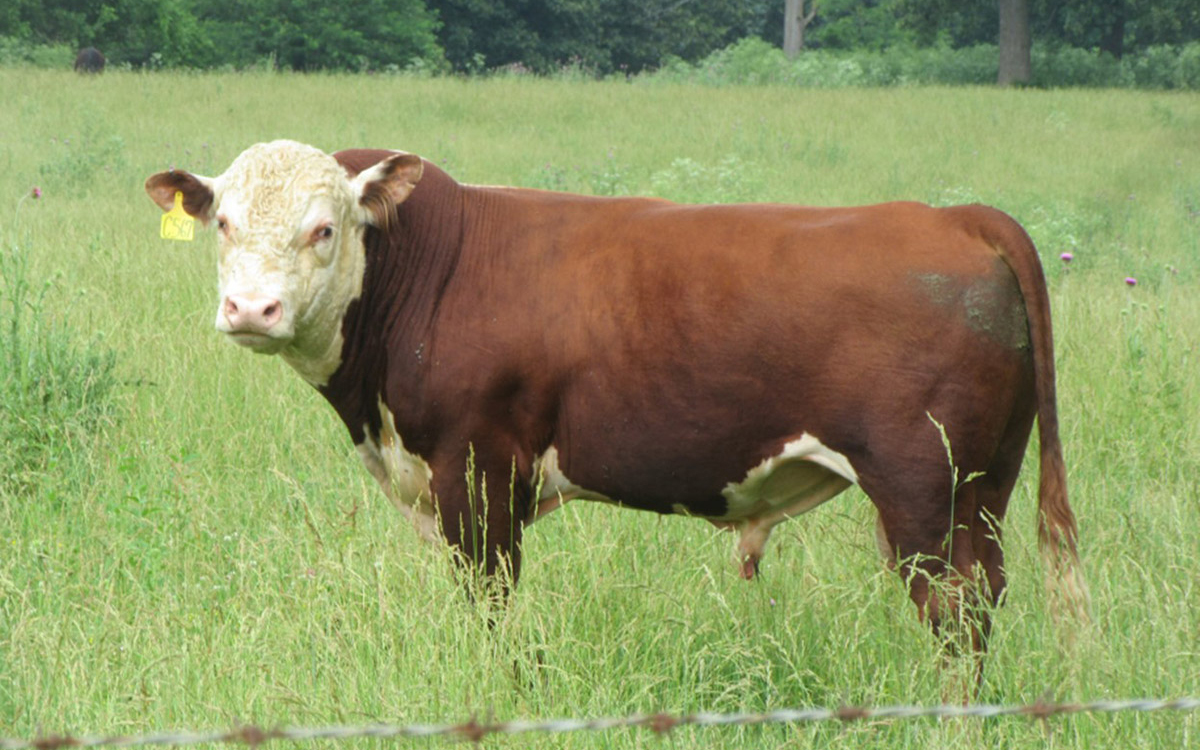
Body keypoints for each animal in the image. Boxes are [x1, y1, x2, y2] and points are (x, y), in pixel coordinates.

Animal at [145, 140, 1084, 648]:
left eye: (324, 229)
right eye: (222, 221)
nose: (251, 309)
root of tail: (955, 216)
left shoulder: (478, 473)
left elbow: (490, 604)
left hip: (925, 489)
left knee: (953, 610)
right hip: (983, 487)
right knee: (986, 595)